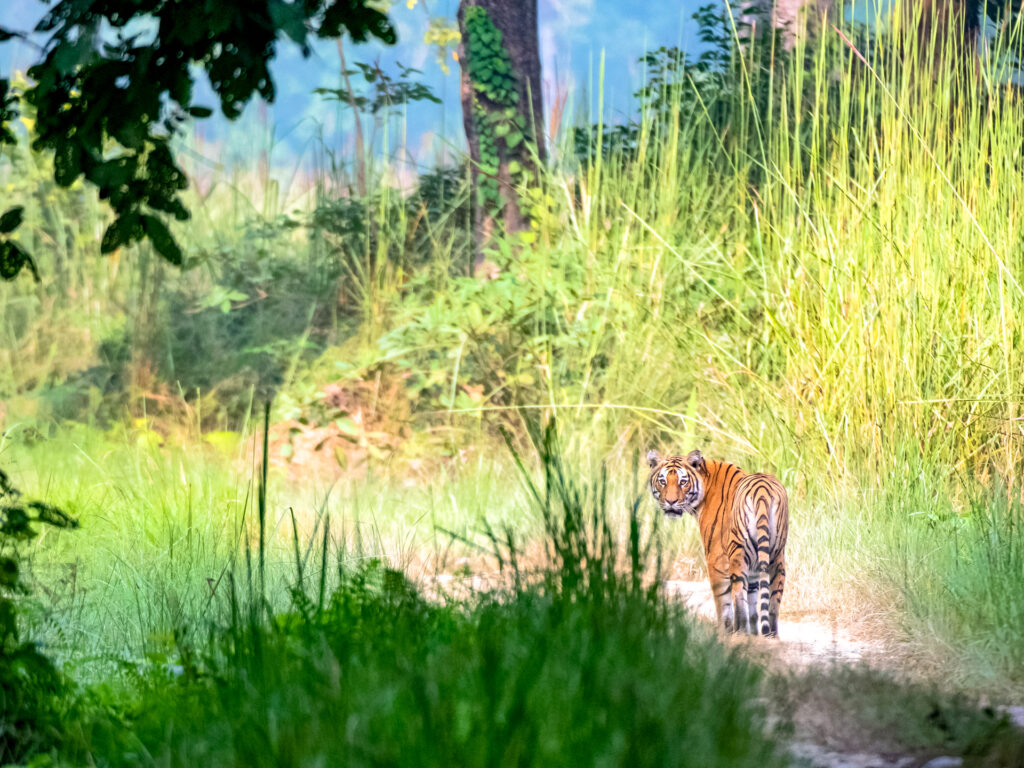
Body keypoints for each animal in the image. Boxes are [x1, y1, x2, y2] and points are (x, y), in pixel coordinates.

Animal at [647, 449, 789, 638]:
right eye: (662, 481)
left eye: (683, 482)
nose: (670, 502)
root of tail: (762, 491)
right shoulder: (753, 567)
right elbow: (753, 599)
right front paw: (754, 634)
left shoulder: (716, 559)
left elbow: (723, 601)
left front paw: (724, 632)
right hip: (777, 557)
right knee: (773, 602)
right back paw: (771, 635)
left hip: (737, 553)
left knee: (737, 594)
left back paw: (740, 632)